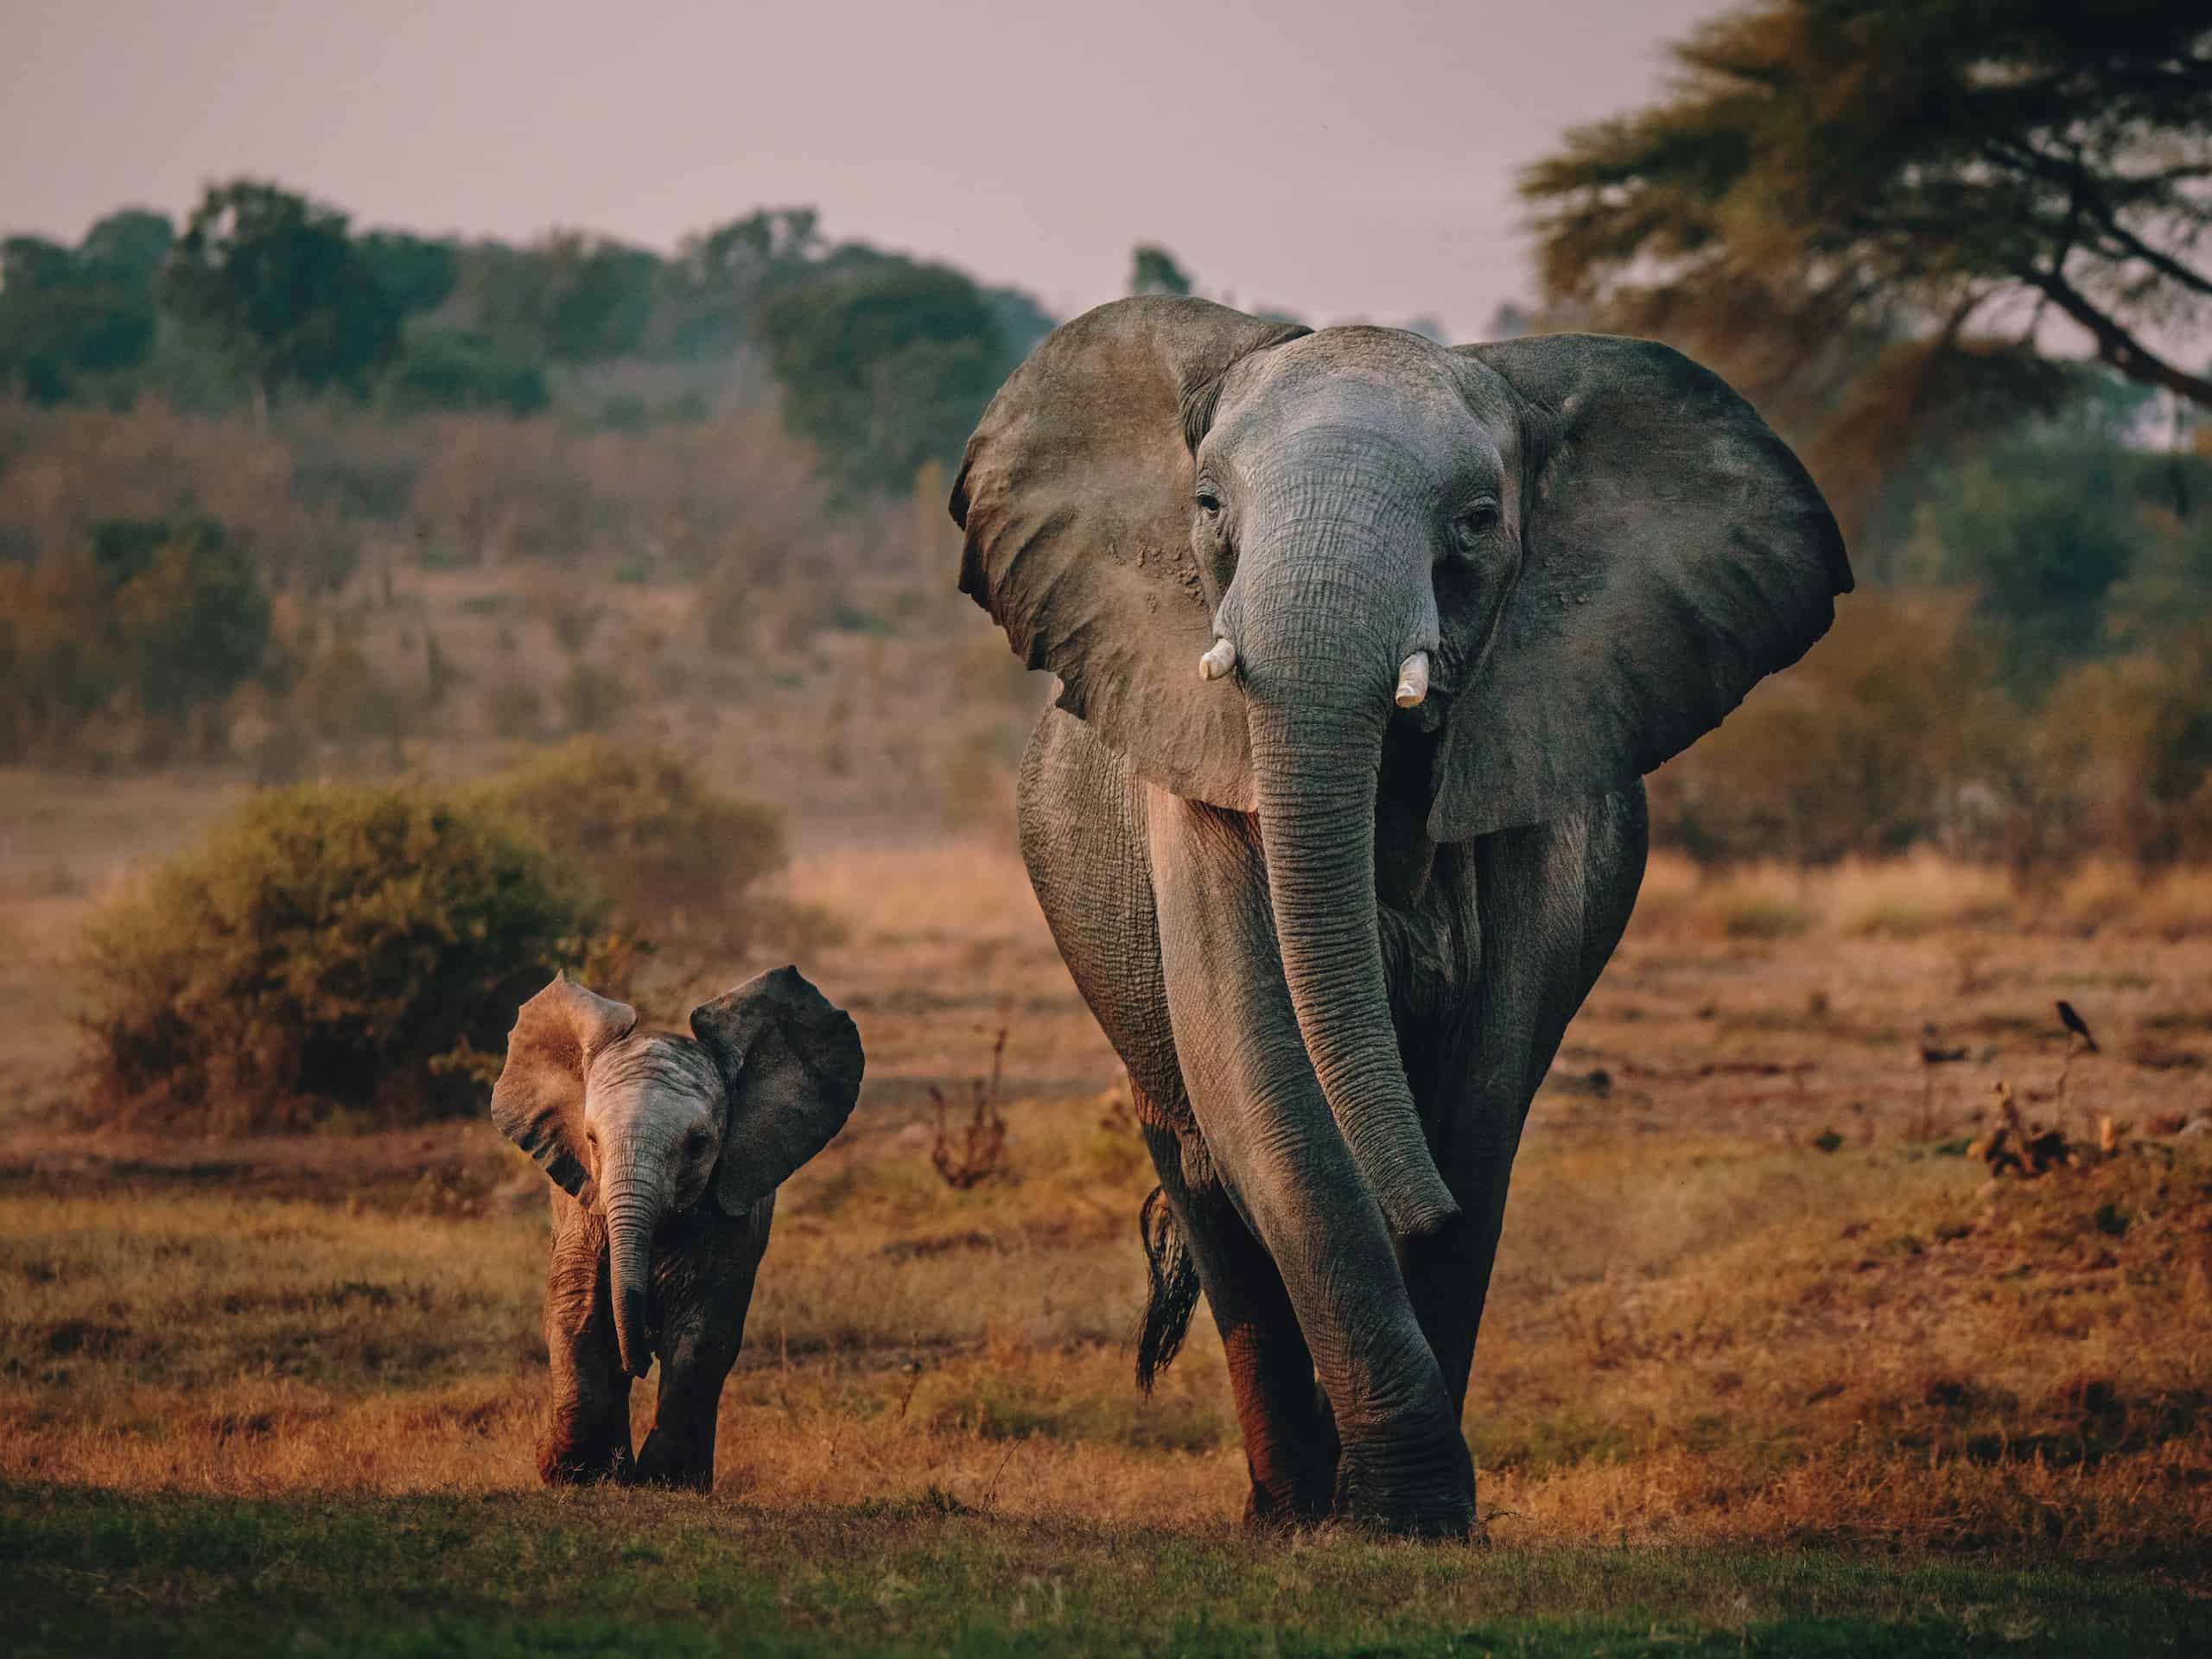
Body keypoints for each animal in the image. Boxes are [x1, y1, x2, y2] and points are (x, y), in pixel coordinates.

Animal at [493, 960, 862, 1495]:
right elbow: (577, 1311)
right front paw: (569, 1473)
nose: (641, 1359)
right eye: (590, 1139)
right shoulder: (584, 1205)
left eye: (698, 1145)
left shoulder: (728, 1212)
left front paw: (669, 1481)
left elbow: (703, 1328)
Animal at [950, 296, 1849, 1530]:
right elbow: (1260, 1081)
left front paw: (1413, 1520)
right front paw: (1392, 1507)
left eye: (1475, 522)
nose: (1414, 1206)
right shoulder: (1196, 780)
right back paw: (1286, 1512)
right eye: (1208, 507)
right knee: (1205, 1177)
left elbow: (1477, 1100)